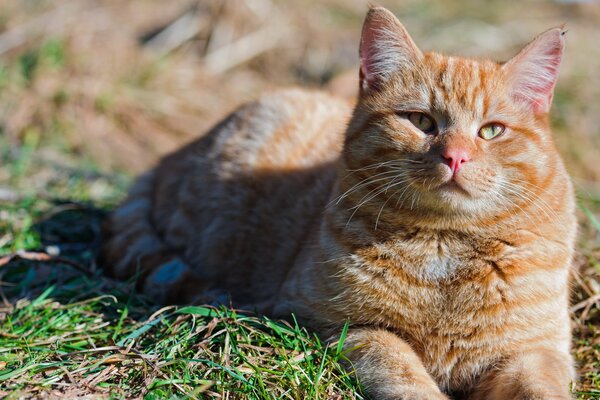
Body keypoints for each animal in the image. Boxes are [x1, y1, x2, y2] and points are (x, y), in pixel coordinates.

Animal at [99, 6, 576, 400]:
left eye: (491, 131)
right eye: (421, 121)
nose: (455, 156)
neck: (448, 245)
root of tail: (169, 156)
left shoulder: (536, 351)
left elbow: (540, 390)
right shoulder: (338, 325)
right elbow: (402, 373)